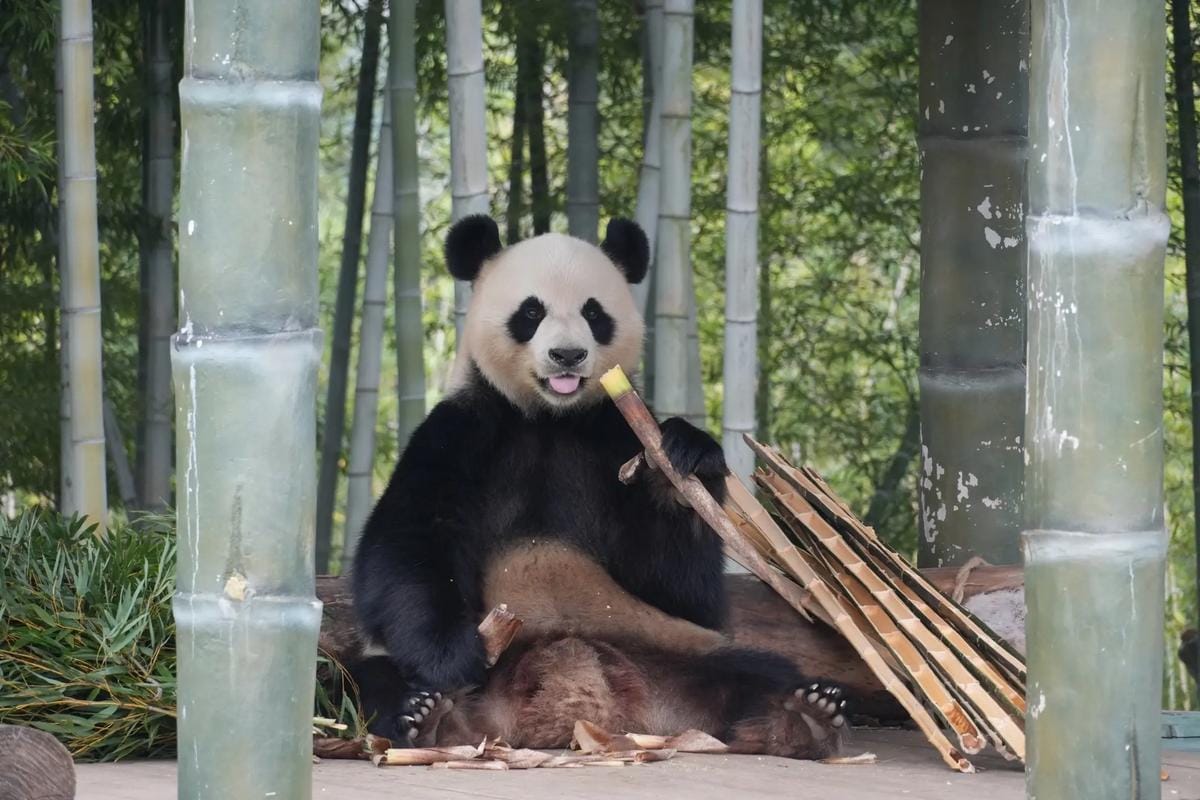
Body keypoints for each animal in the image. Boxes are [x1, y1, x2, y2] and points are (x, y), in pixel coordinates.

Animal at [350, 214, 847, 759]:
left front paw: (681, 459)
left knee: (754, 670)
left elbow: (686, 589)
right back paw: (428, 716)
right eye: (531, 311)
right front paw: (452, 658)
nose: (567, 355)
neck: (551, 418)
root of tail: (581, 698)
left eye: (594, 312)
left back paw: (804, 717)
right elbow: (406, 544)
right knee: (372, 678)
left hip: (667, 645)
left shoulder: (614, 434)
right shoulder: (463, 432)